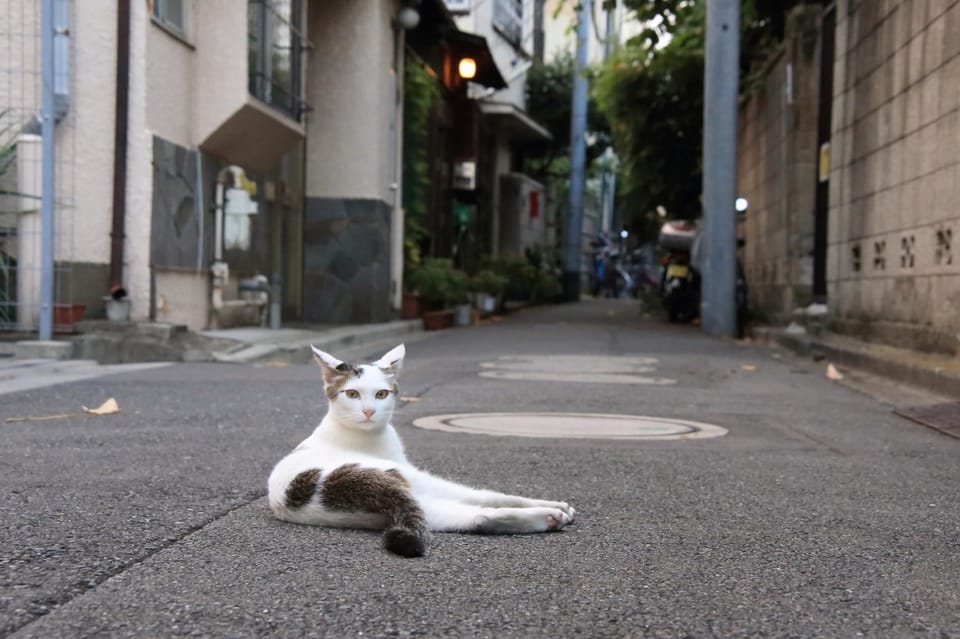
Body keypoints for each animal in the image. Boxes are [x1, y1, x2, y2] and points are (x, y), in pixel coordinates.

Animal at [266, 342, 572, 556]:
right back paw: (550, 513)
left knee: (476, 516)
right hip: (411, 478)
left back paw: (547, 516)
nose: (368, 411)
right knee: (483, 498)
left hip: (405, 509)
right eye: (352, 394)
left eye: (381, 394)